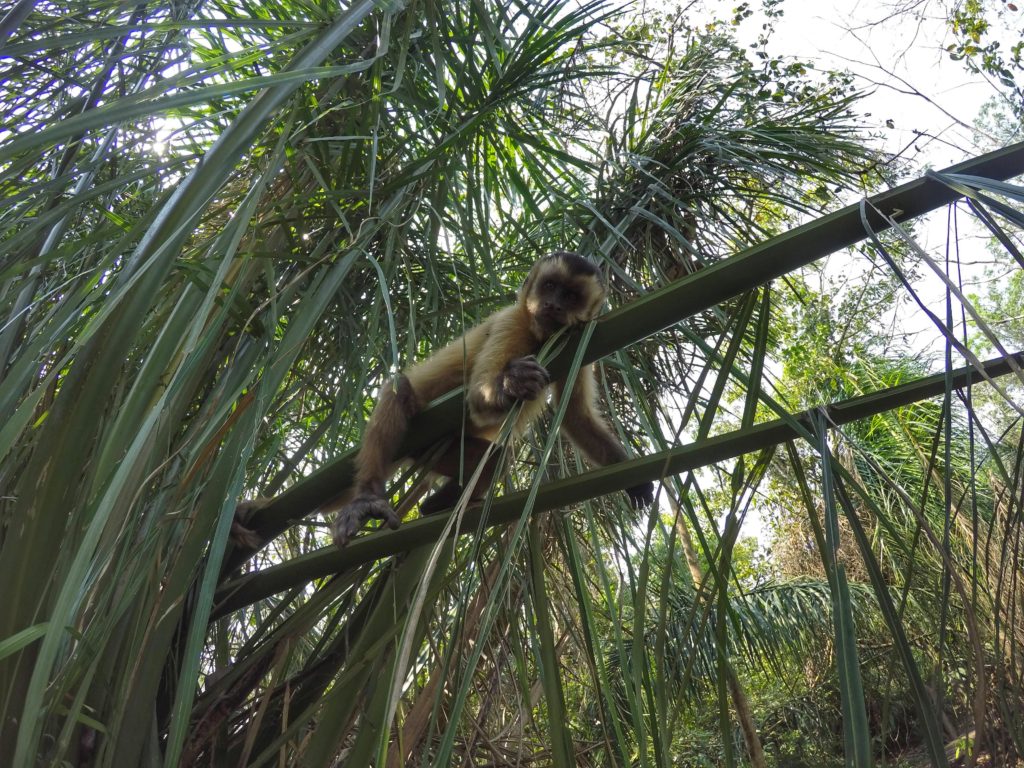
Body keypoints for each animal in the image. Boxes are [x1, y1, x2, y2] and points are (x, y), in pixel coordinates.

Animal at [331, 256, 651, 548]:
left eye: (571, 296)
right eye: (550, 287)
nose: (553, 305)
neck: (538, 335)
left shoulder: (578, 337)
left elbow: (577, 417)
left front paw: (632, 476)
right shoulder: (512, 323)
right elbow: (478, 397)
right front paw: (512, 383)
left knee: (498, 458)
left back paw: (435, 505)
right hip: (419, 444)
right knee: (400, 391)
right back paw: (368, 498)